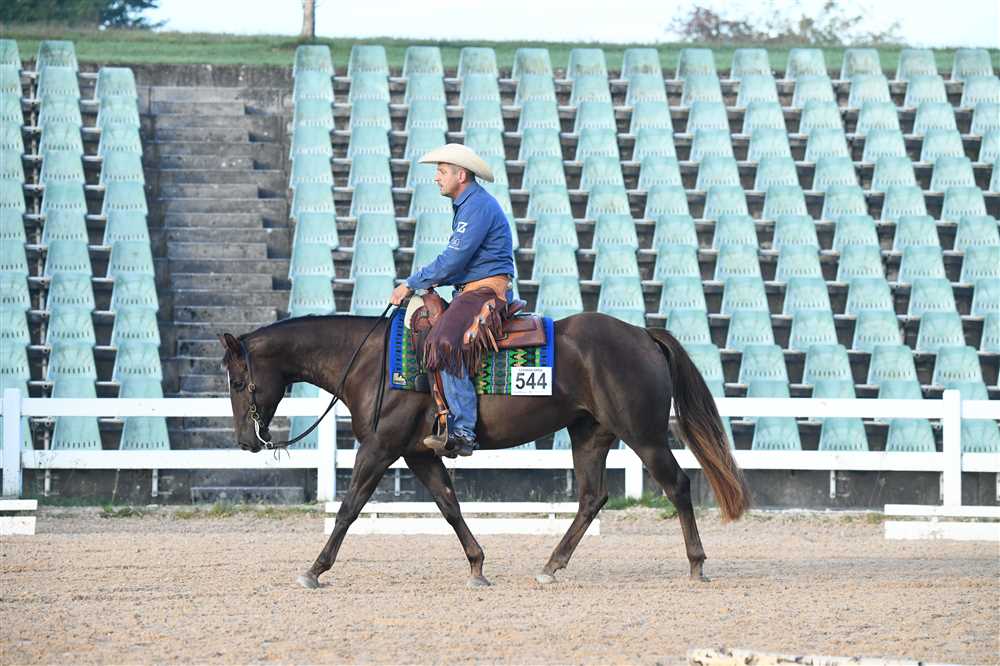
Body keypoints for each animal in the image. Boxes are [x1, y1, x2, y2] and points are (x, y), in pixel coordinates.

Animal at [219, 311, 751, 589]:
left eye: (240, 381)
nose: (246, 441)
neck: (370, 360)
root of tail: (642, 334)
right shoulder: (420, 453)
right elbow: (449, 506)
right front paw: (477, 565)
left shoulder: (379, 447)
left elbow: (349, 508)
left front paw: (315, 569)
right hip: (590, 434)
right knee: (591, 498)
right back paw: (551, 566)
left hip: (643, 434)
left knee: (677, 486)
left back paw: (697, 564)